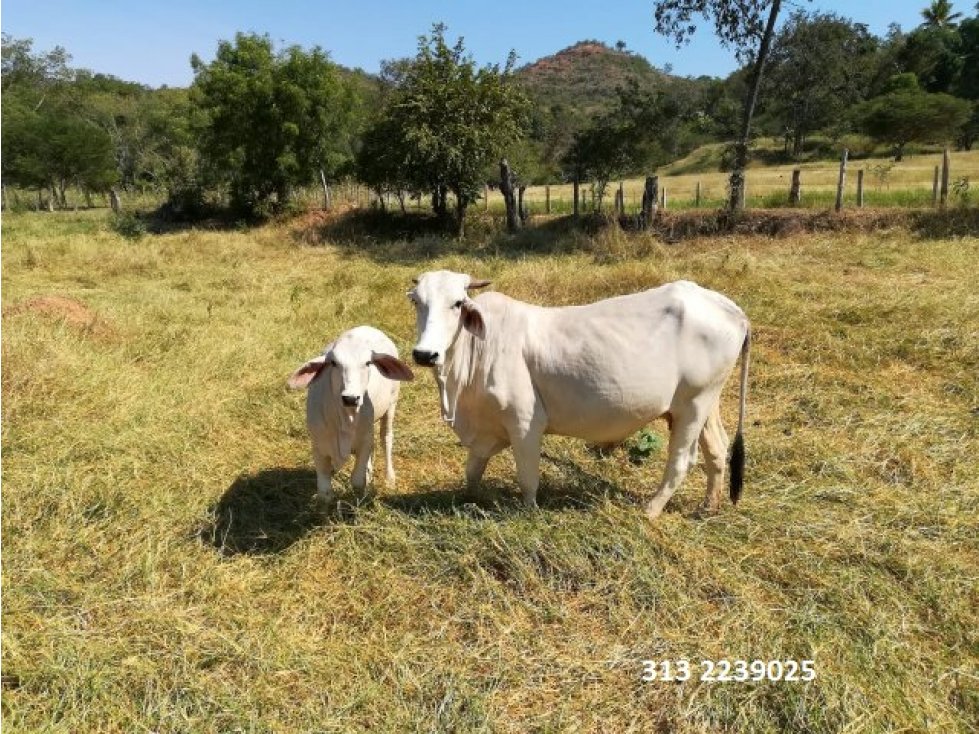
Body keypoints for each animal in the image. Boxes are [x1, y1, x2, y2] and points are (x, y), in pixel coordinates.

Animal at [290, 328, 416, 506]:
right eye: (334, 363)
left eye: (368, 363)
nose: (350, 398)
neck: (345, 419)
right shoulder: (318, 446)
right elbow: (324, 492)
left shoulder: (364, 441)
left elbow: (357, 480)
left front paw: (358, 502)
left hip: (392, 403)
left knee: (386, 438)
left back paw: (389, 478)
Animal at [406, 274, 752, 520]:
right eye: (418, 302)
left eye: (457, 303)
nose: (425, 354)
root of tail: (733, 311)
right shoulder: (484, 429)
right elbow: (473, 470)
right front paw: (471, 500)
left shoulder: (525, 422)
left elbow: (527, 478)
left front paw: (530, 513)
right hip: (705, 403)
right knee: (717, 450)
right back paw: (708, 507)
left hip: (693, 405)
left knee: (682, 460)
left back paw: (651, 511)